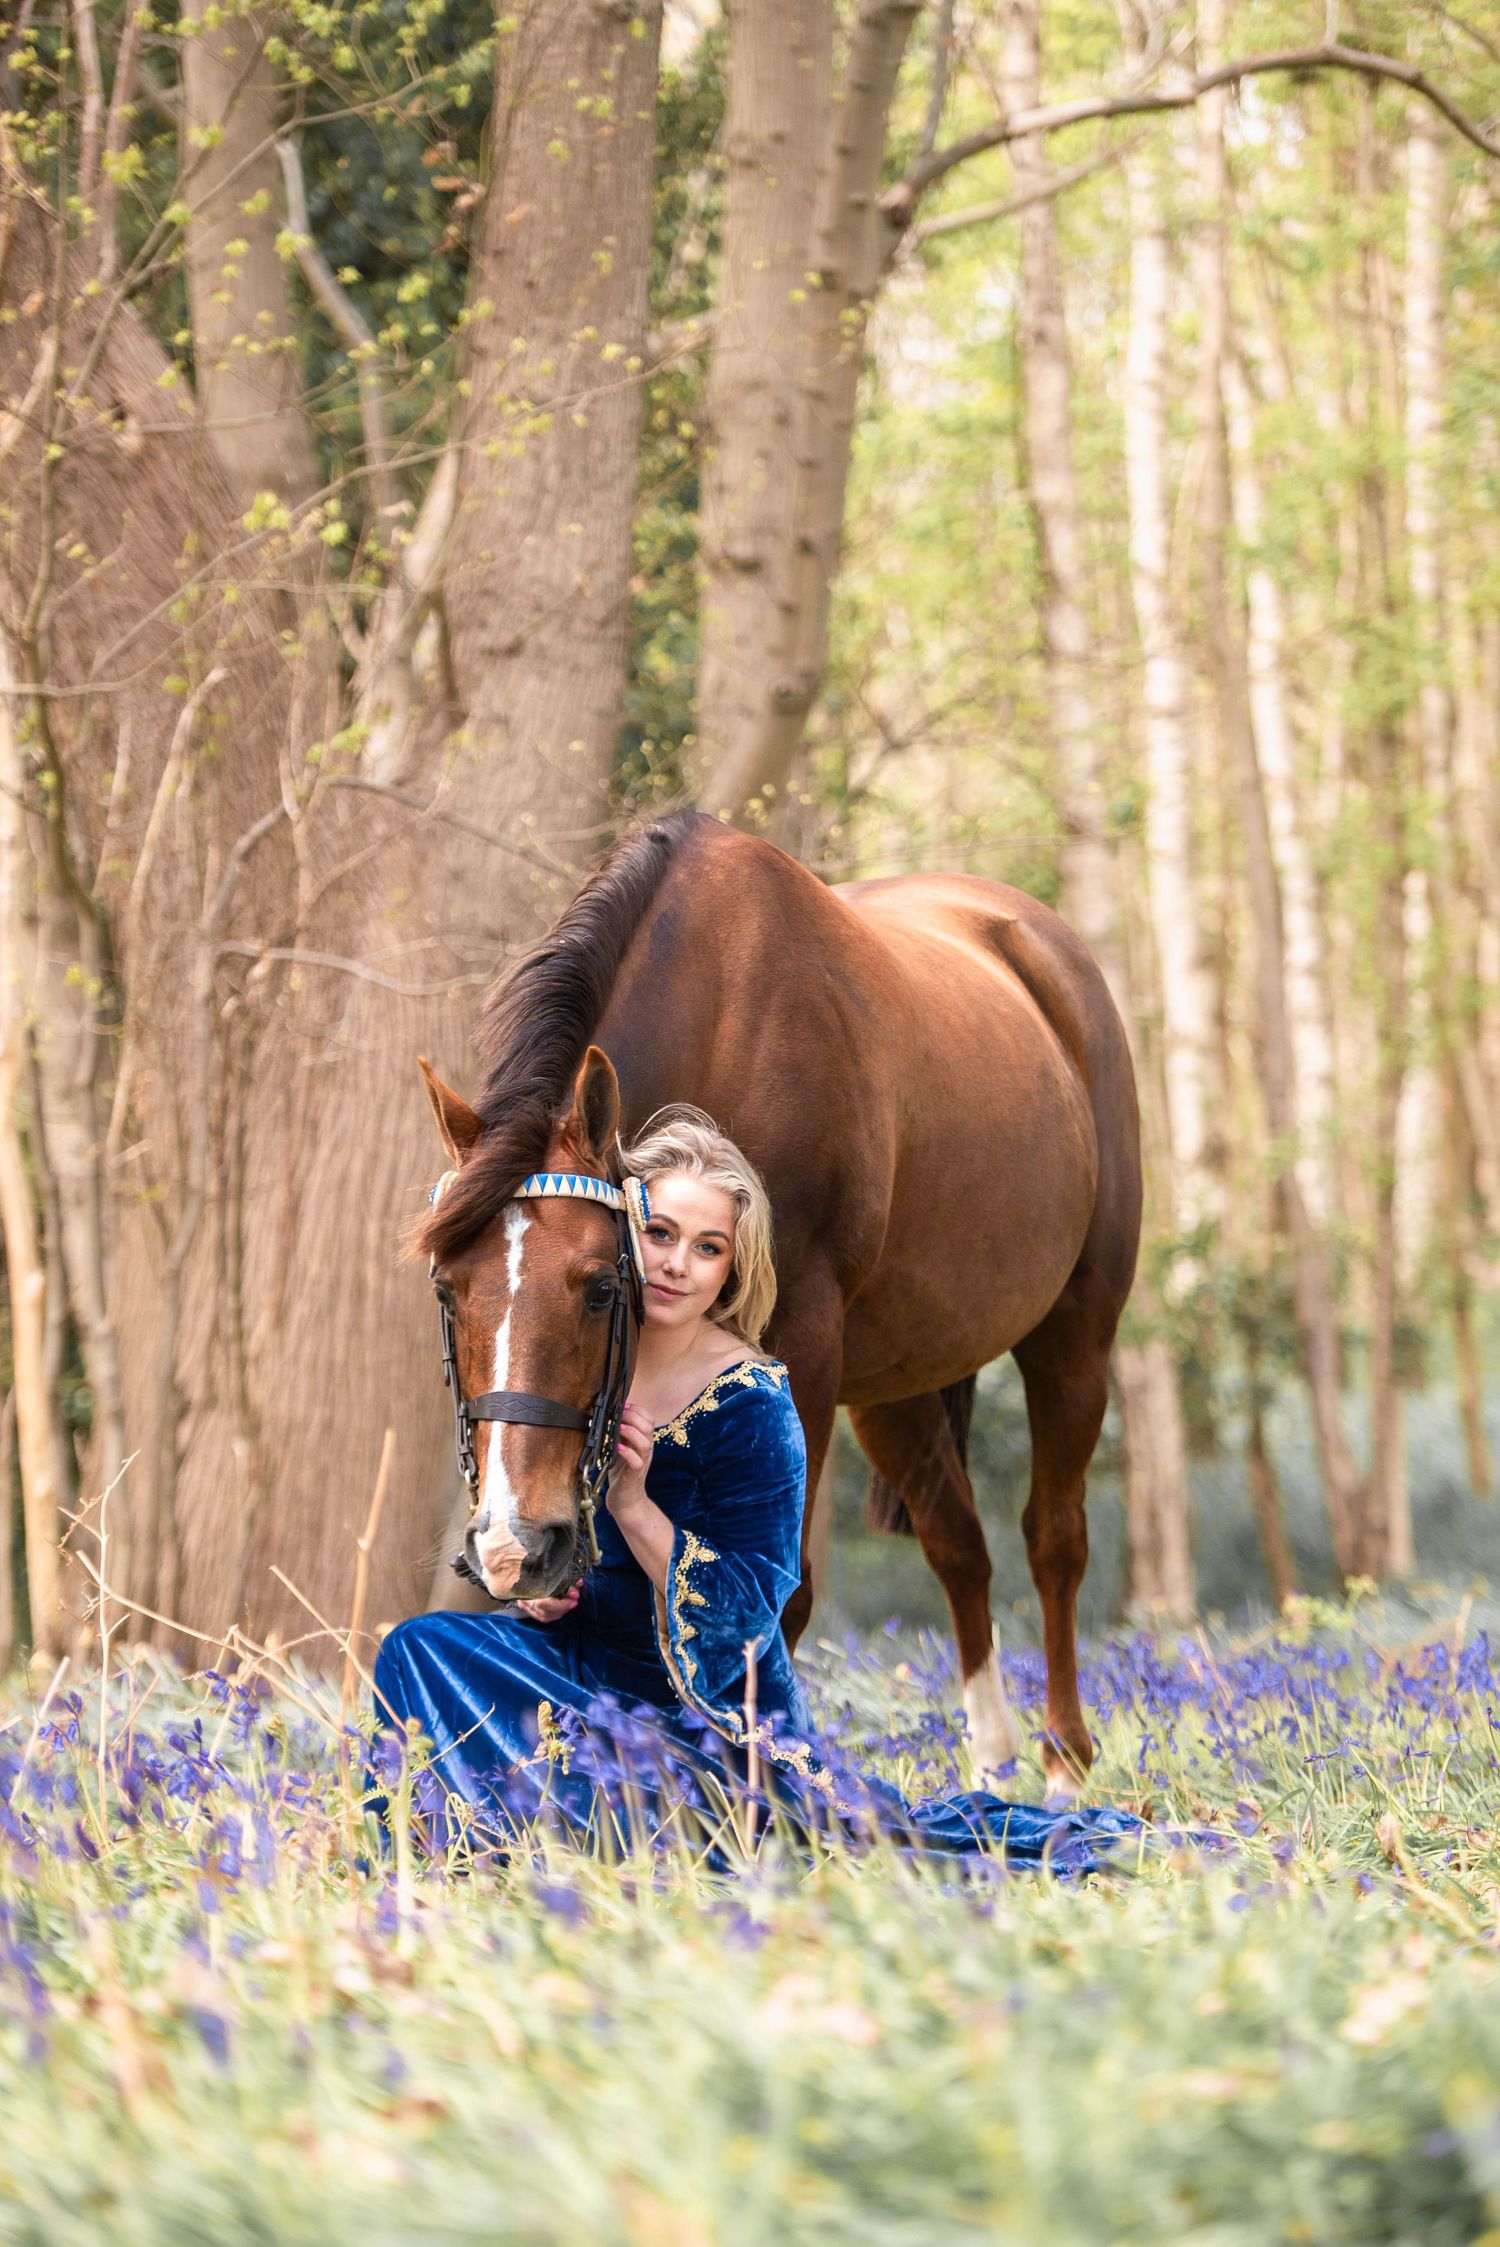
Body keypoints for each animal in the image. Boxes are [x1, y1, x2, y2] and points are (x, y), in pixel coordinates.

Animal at [417, 808, 1140, 1788]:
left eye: (602, 1287)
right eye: (450, 1290)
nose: (512, 1546)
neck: (724, 1020)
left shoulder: (802, 1342)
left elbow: (774, 1603)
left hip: (1074, 1333)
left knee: (1054, 1536)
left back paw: (1063, 1760)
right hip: (897, 1386)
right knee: (959, 1544)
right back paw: (991, 1762)